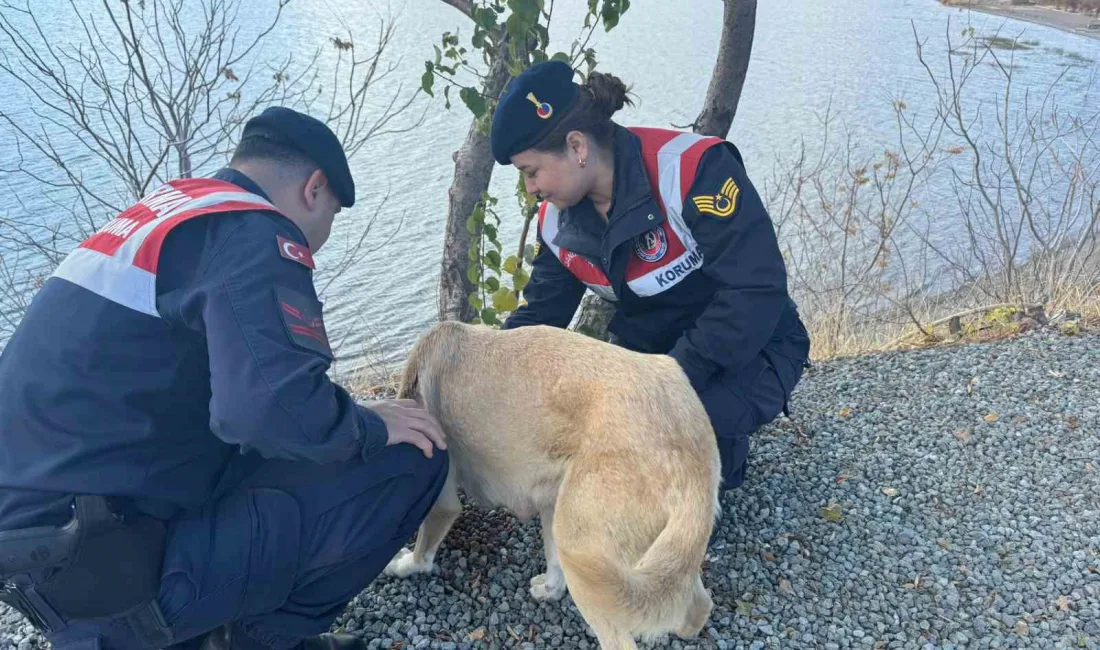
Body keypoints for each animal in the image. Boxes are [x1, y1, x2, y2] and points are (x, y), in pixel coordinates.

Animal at [387, 323, 721, 646]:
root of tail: (690, 451)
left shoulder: (442, 504)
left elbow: (421, 554)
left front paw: (402, 565)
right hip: (636, 548)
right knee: (697, 602)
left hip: (584, 546)